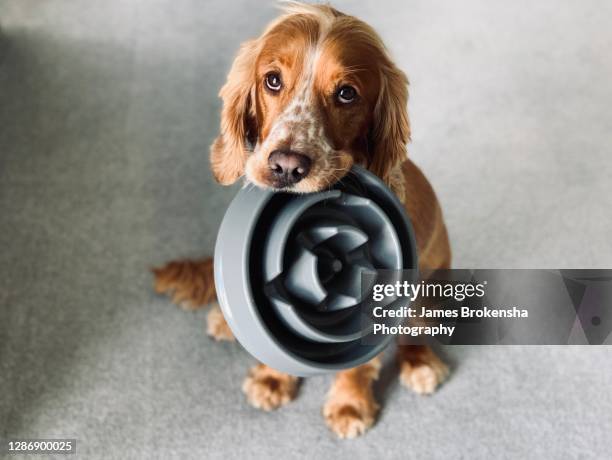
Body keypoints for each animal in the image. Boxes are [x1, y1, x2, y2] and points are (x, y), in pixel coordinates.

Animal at [152, 1, 450, 438]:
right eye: (272, 81)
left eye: (347, 93)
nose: (287, 166)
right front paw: (272, 379)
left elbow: (360, 361)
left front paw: (349, 404)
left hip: (431, 281)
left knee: (418, 329)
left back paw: (422, 364)